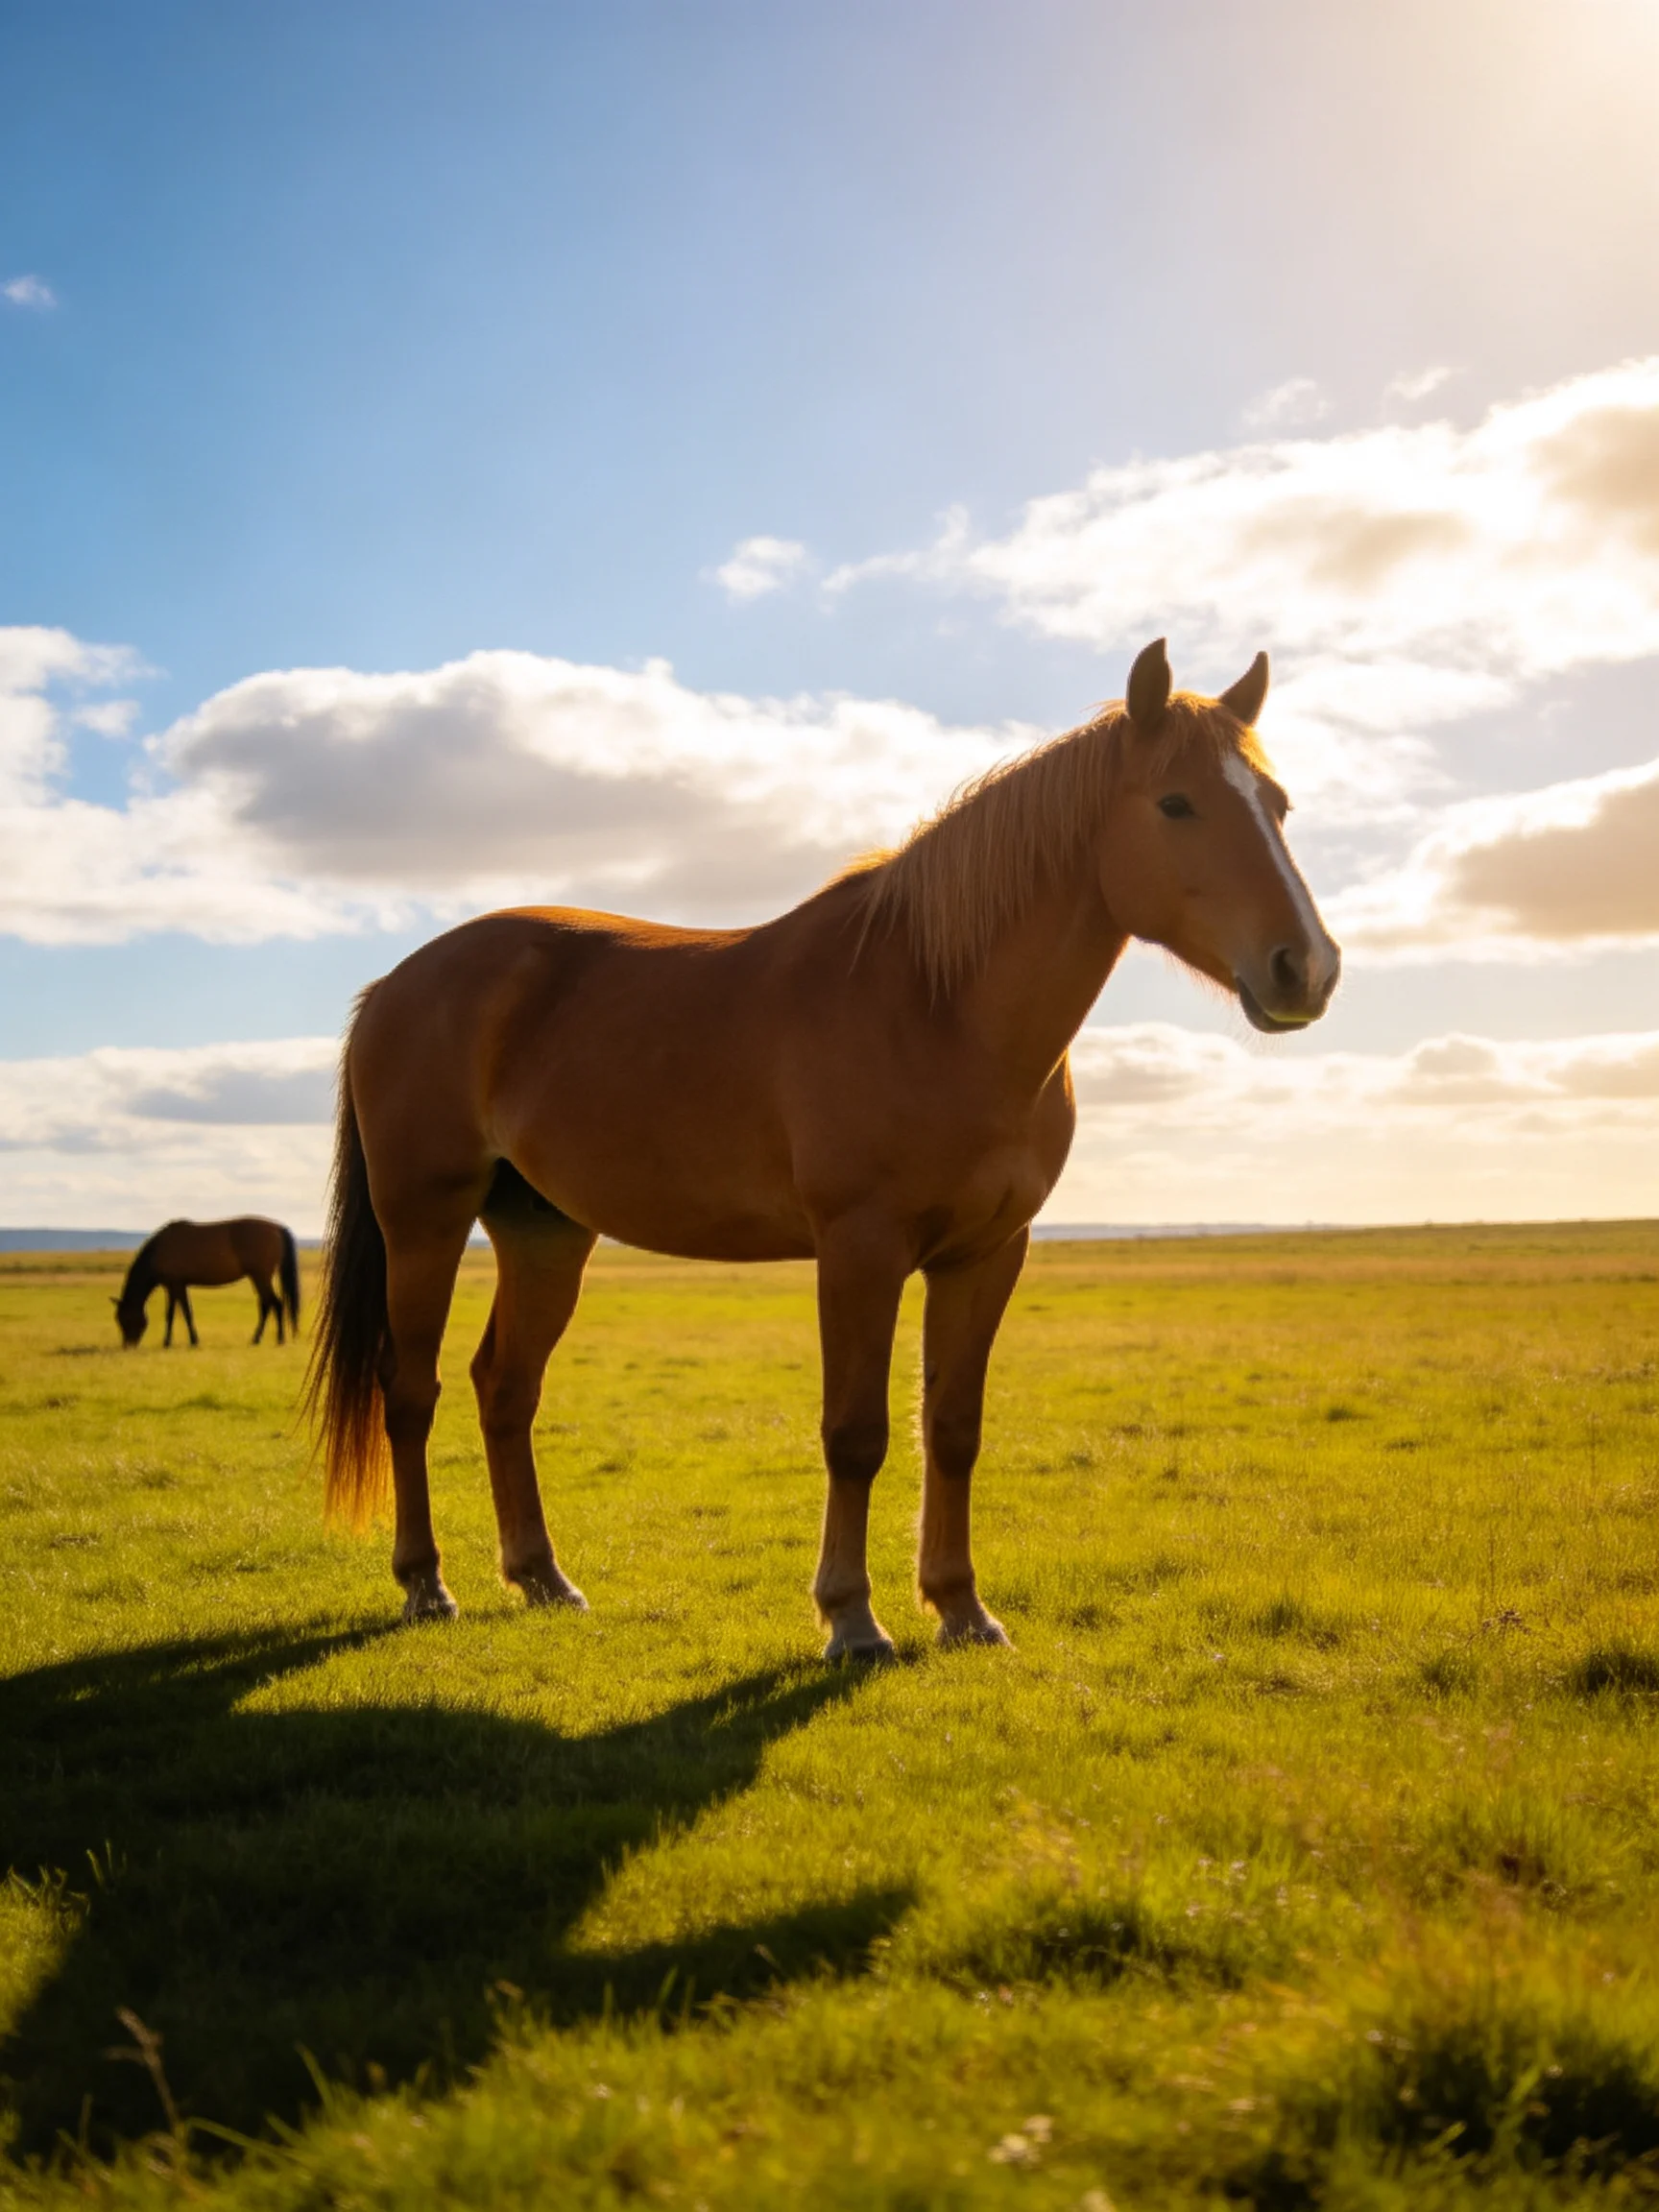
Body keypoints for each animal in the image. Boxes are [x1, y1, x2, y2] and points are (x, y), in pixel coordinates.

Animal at [114, 1218, 302, 1348]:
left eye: (125, 1318)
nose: (127, 1345)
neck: (160, 1250)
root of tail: (277, 1228)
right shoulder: (174, 1286)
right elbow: (175, 1313)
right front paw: (172, 1341)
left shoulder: (176, 1285)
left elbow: (182, 1312)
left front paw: (188, 1341)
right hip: (259, 1277)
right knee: (267, 1304)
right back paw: (259, 1339)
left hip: (260, 1276)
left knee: (274, 1304)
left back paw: (276, 1339)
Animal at [307, 640, 1340, 1651]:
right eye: (1176, 803)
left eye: (1279, 804)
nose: (1308, 968)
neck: (937, 1005)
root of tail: (395, 984)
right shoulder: (859, 1250)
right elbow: (856, 1433)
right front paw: (851, 1617)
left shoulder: (986, 1256)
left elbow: (951, 1427)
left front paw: (961, 1607)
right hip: (426, 1223)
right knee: (412, 1390)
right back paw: (425, 1585)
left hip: (544, 1232)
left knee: (505, 1387)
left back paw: (542, 1578)